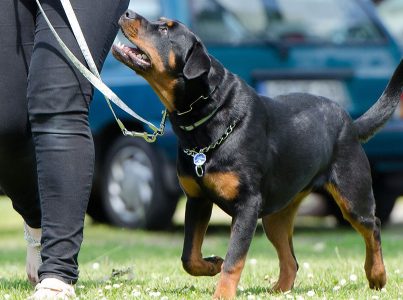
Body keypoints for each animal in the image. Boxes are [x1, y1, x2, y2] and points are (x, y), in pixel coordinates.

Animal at [111, 9, 403, 300]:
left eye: (164, 30)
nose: (127, 12)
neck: (206, 118)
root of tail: (351, 123)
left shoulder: (247, 204)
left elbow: (234, 259)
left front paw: (222, 293)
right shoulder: (197, 199)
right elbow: (189, 257)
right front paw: (211, 264)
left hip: (352, 194)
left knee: (373, 226)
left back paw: (377, 275)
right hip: (276, 215)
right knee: (291, 259)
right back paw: (279, 290)